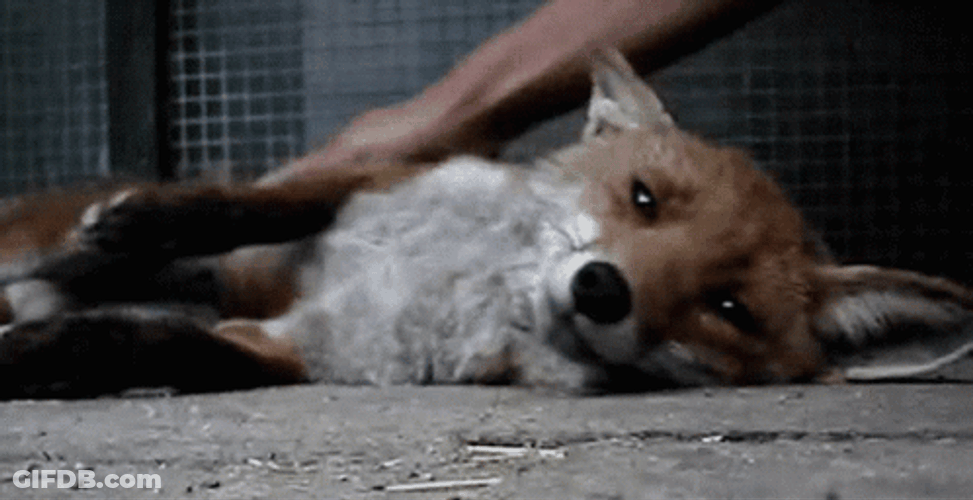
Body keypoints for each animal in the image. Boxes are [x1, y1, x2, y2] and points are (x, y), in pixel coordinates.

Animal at [1, 49, 972, 399]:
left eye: (727, 310)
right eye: (644, 199)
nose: (602, 289)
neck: (466, 282)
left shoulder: (309, 348)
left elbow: (150, 341)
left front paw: (42, 355)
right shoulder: (379, 177)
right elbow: (263, 202)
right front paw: (143, 221)